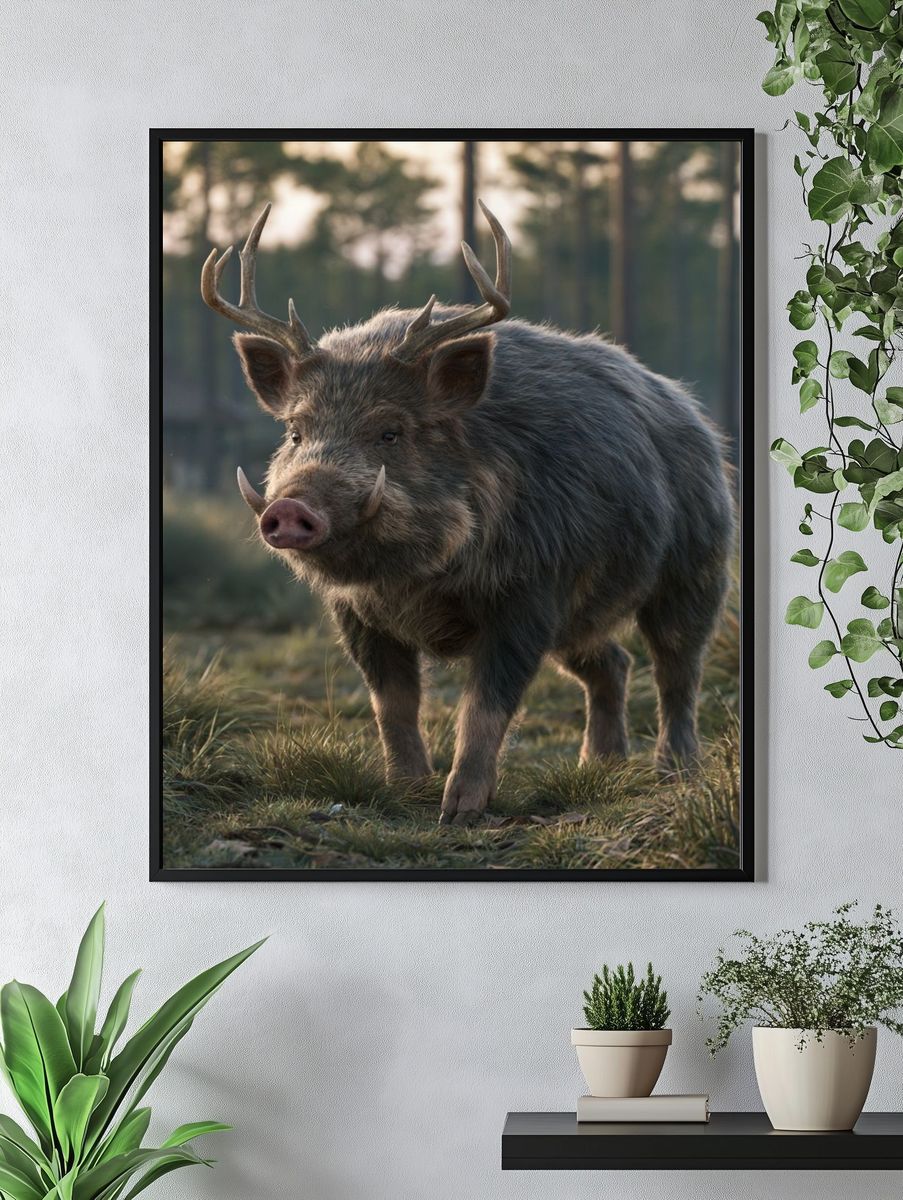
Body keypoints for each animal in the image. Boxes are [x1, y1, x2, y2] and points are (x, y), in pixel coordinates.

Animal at [201, 201, 734, 825]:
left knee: (677, 668)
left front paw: (458, 812)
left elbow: (484, 707)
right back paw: (599, 768)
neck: (412, 581)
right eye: (295, 431)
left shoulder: (528, 594)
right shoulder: (355, 614)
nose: (290, 506)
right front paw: (406, 791)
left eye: (390, 431)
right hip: (581, 618)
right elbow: (393, 706)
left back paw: (674, 772)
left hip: (695, 569)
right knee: (613, 662)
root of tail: (696, 417)